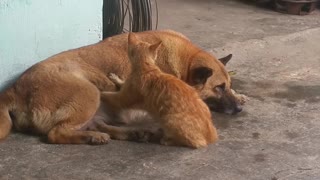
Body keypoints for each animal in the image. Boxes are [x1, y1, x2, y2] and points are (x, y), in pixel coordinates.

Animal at [0, 29, 240, 143]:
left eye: (227, 85)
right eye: (219, 87)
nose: (239, 109)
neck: (185, 61)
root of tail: (14, 89)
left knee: (96, 124)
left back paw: (129, 133)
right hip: (90, 93)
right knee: (56, 133)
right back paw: (94, 137)